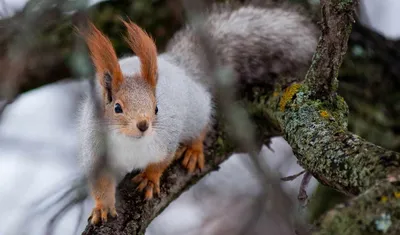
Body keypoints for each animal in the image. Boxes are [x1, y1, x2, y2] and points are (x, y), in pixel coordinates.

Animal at [76, 2, 318, 226]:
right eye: (117, 108)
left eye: (156, 108)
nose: (143, 125)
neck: (130, 142)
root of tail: (178, 65)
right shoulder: (96, 150)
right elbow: (100, 183)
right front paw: (102, 207)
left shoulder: (166, 140)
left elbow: (161, 162)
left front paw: (150, 178)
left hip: (196, 112)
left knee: (201, 126)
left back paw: (193, 150)